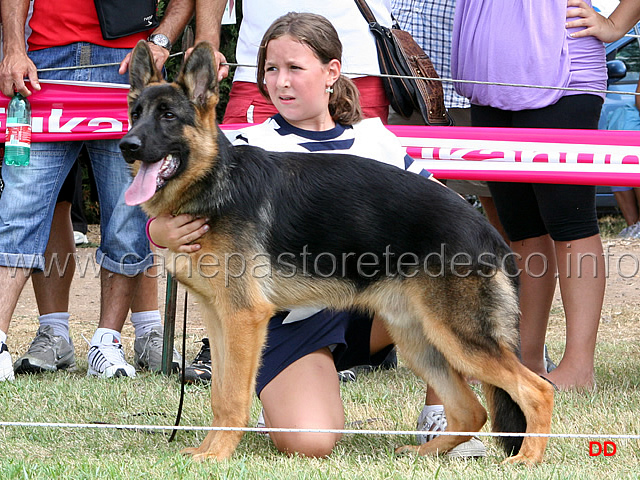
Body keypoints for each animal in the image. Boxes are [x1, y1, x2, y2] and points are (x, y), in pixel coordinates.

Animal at [120, 42, 556, 464]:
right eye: (135, 114)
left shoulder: (243, 319)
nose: (127, 145)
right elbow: (219, 394)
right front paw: (208, 449)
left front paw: (218, 454)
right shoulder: (219, 318)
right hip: (421, 340)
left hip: (458, 336)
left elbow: (231, 397)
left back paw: (527, 460)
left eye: (169, 116)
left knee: (537, 390)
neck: (214, 180)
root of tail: (489, 233)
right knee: (471, 409)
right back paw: (426, 453)